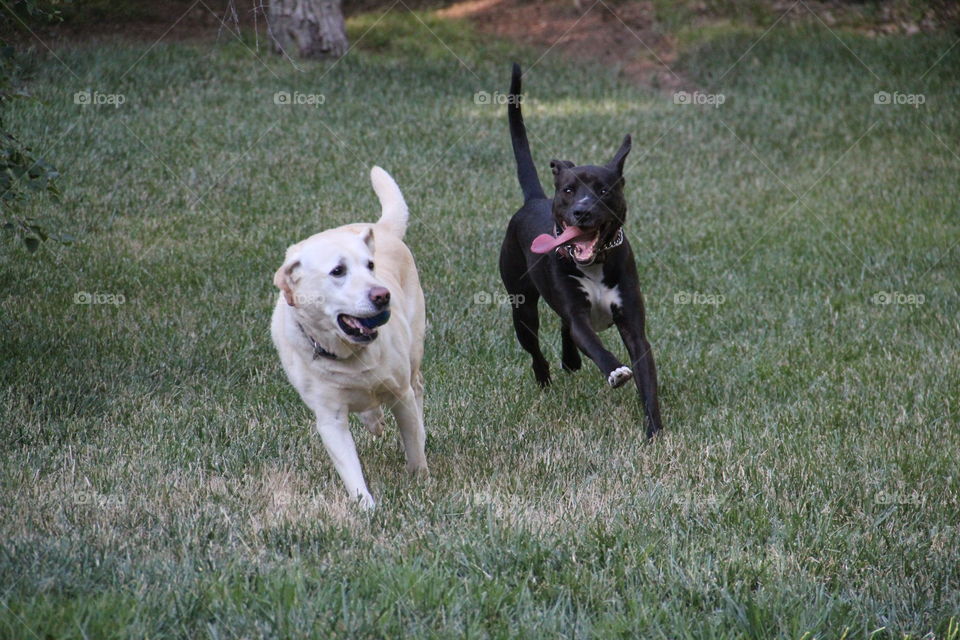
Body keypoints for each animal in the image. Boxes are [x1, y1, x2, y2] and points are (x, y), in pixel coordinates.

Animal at [274, 166, 432, 510]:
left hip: (414, 347)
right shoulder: (329, 418)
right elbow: (349, 468)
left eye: (370, 265)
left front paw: (421, 480)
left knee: (417, 390)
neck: (349, 354)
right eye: (337, 271)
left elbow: (413, 442)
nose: (382, 295)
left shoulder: (400, 393)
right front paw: (366, 508)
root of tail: (379, 228)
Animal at [498, 62, 664, 438]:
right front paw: (615, 370)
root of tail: (534, 199)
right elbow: (590, 341)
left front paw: (654, 433)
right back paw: (544, 379)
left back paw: (569, 361)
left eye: (603, 190)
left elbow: (647, 376)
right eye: (569, 190)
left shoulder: (633, 325)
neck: (595, 263)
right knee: (535, 347)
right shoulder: (577, 313)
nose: (582, 211)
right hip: (522, 307)